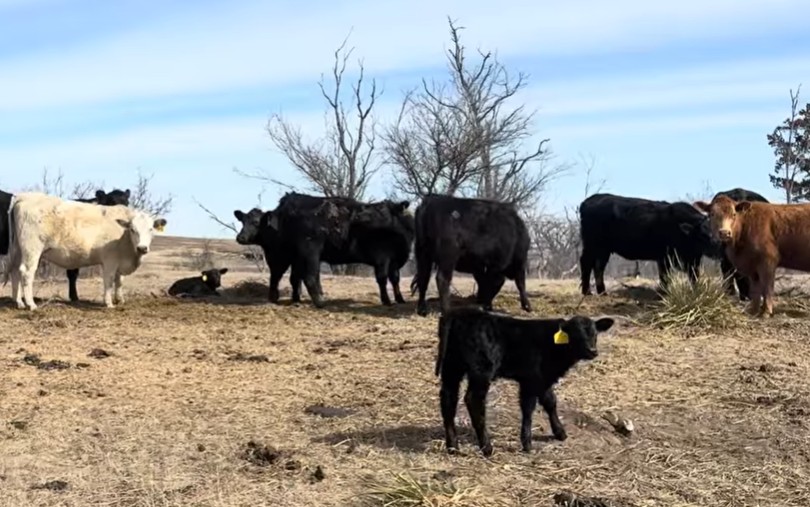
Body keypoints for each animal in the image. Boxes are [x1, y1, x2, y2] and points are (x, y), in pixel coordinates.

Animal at [4, 192, 167, 310]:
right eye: (133, 229)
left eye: (151, 229)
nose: (142, 248)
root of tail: (24, 196)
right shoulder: (110, 260)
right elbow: (109, 280)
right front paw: (109, 303)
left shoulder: (120, 261)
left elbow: (119, 280)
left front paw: (120, 300)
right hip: (32, 249)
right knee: (27, 272)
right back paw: (31, 304)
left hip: (18, 249)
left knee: (15, 271)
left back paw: (19, 302)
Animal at [234, 192, 413, 307]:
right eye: (243, 221)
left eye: (255, 222)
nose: (240, 237)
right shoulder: (382, 258)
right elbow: (382, 279)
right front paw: (387, 301)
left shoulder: (395, 260)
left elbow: (395, 279)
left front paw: (400, 299)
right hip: (309, 252)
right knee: (307, 277)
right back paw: (319, 302)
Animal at [435, 306, 615, 457]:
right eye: (576, 335)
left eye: (595, 334)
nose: (592, 351)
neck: (553, 344)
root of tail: (460, 313)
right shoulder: (531, 379)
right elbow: (528, 408)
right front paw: (527, 443)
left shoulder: (542, 378)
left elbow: (550, 401)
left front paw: (560, 432)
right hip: (481, 370)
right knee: (473, 400)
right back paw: (487, 447)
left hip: (451, 367)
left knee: (448, 399)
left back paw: (453, 447)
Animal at [578, 193, 721, 296]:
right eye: (703, 235)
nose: (718, 245)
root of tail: (587, 202)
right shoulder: (664, 257)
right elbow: (665, 277)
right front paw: (664, 293)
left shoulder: (693, 259)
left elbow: (694, 277)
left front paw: (697, 292)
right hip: (591, 245)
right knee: (586, 263)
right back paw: (587, 292)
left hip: (603, 249)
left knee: (598, 267)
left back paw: (602, 292)